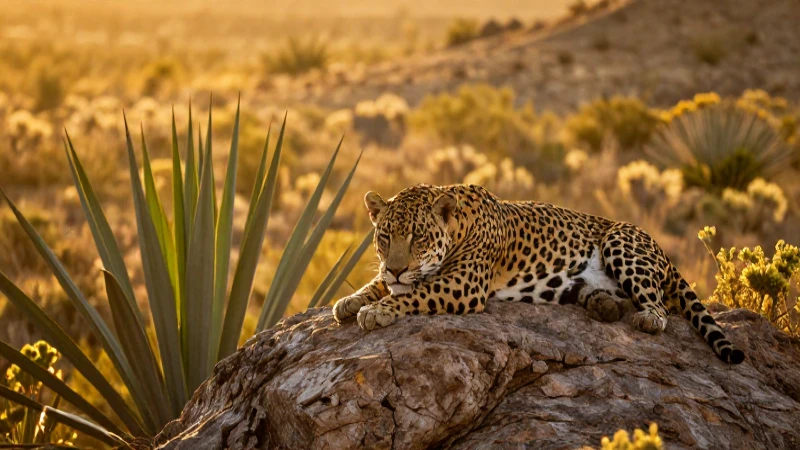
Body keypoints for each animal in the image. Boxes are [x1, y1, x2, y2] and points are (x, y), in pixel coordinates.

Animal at [333, 184, 745, 364]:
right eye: (385, 236)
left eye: (418, 237)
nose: (397, 267)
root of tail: (661, 248)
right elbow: (380, 284)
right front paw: (349, 301)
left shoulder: (463, 284)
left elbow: (414, 293)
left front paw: (377, 311)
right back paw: (604, 306)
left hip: (620, 241)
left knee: (660, 307)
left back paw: (645, 318)